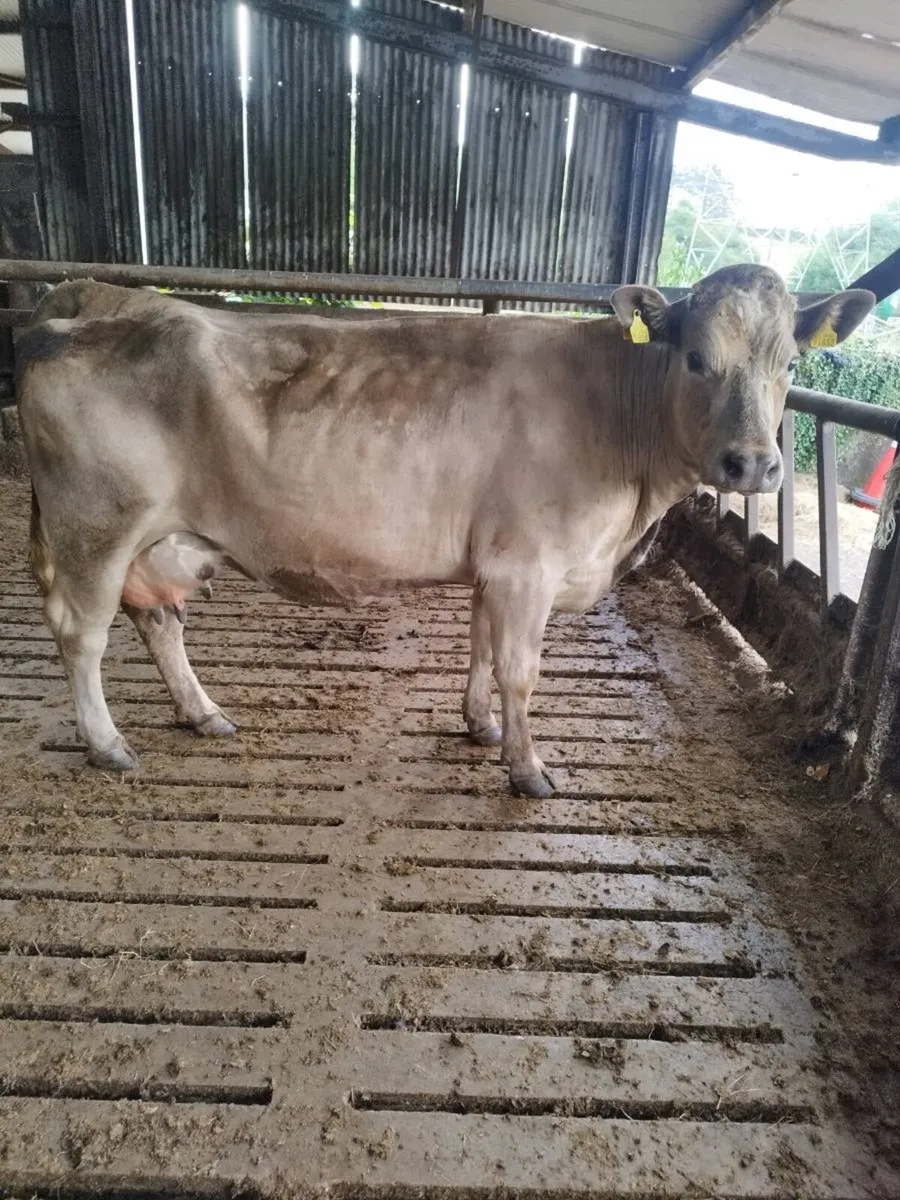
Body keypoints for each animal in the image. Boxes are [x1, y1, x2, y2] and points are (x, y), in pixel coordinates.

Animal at [15, 265, 873, 797]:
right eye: (695, 357)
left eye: (791, 364)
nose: (752, 463)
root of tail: (87, 304)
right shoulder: (528, 566)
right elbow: (521, 669)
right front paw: (527, 770)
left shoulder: (494, 563)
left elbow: (481, 649)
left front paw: (480, 725)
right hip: (95, 527)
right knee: (82, 634)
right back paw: (107, 744)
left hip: (155, 540)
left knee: (158, 620)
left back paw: (202, 713)